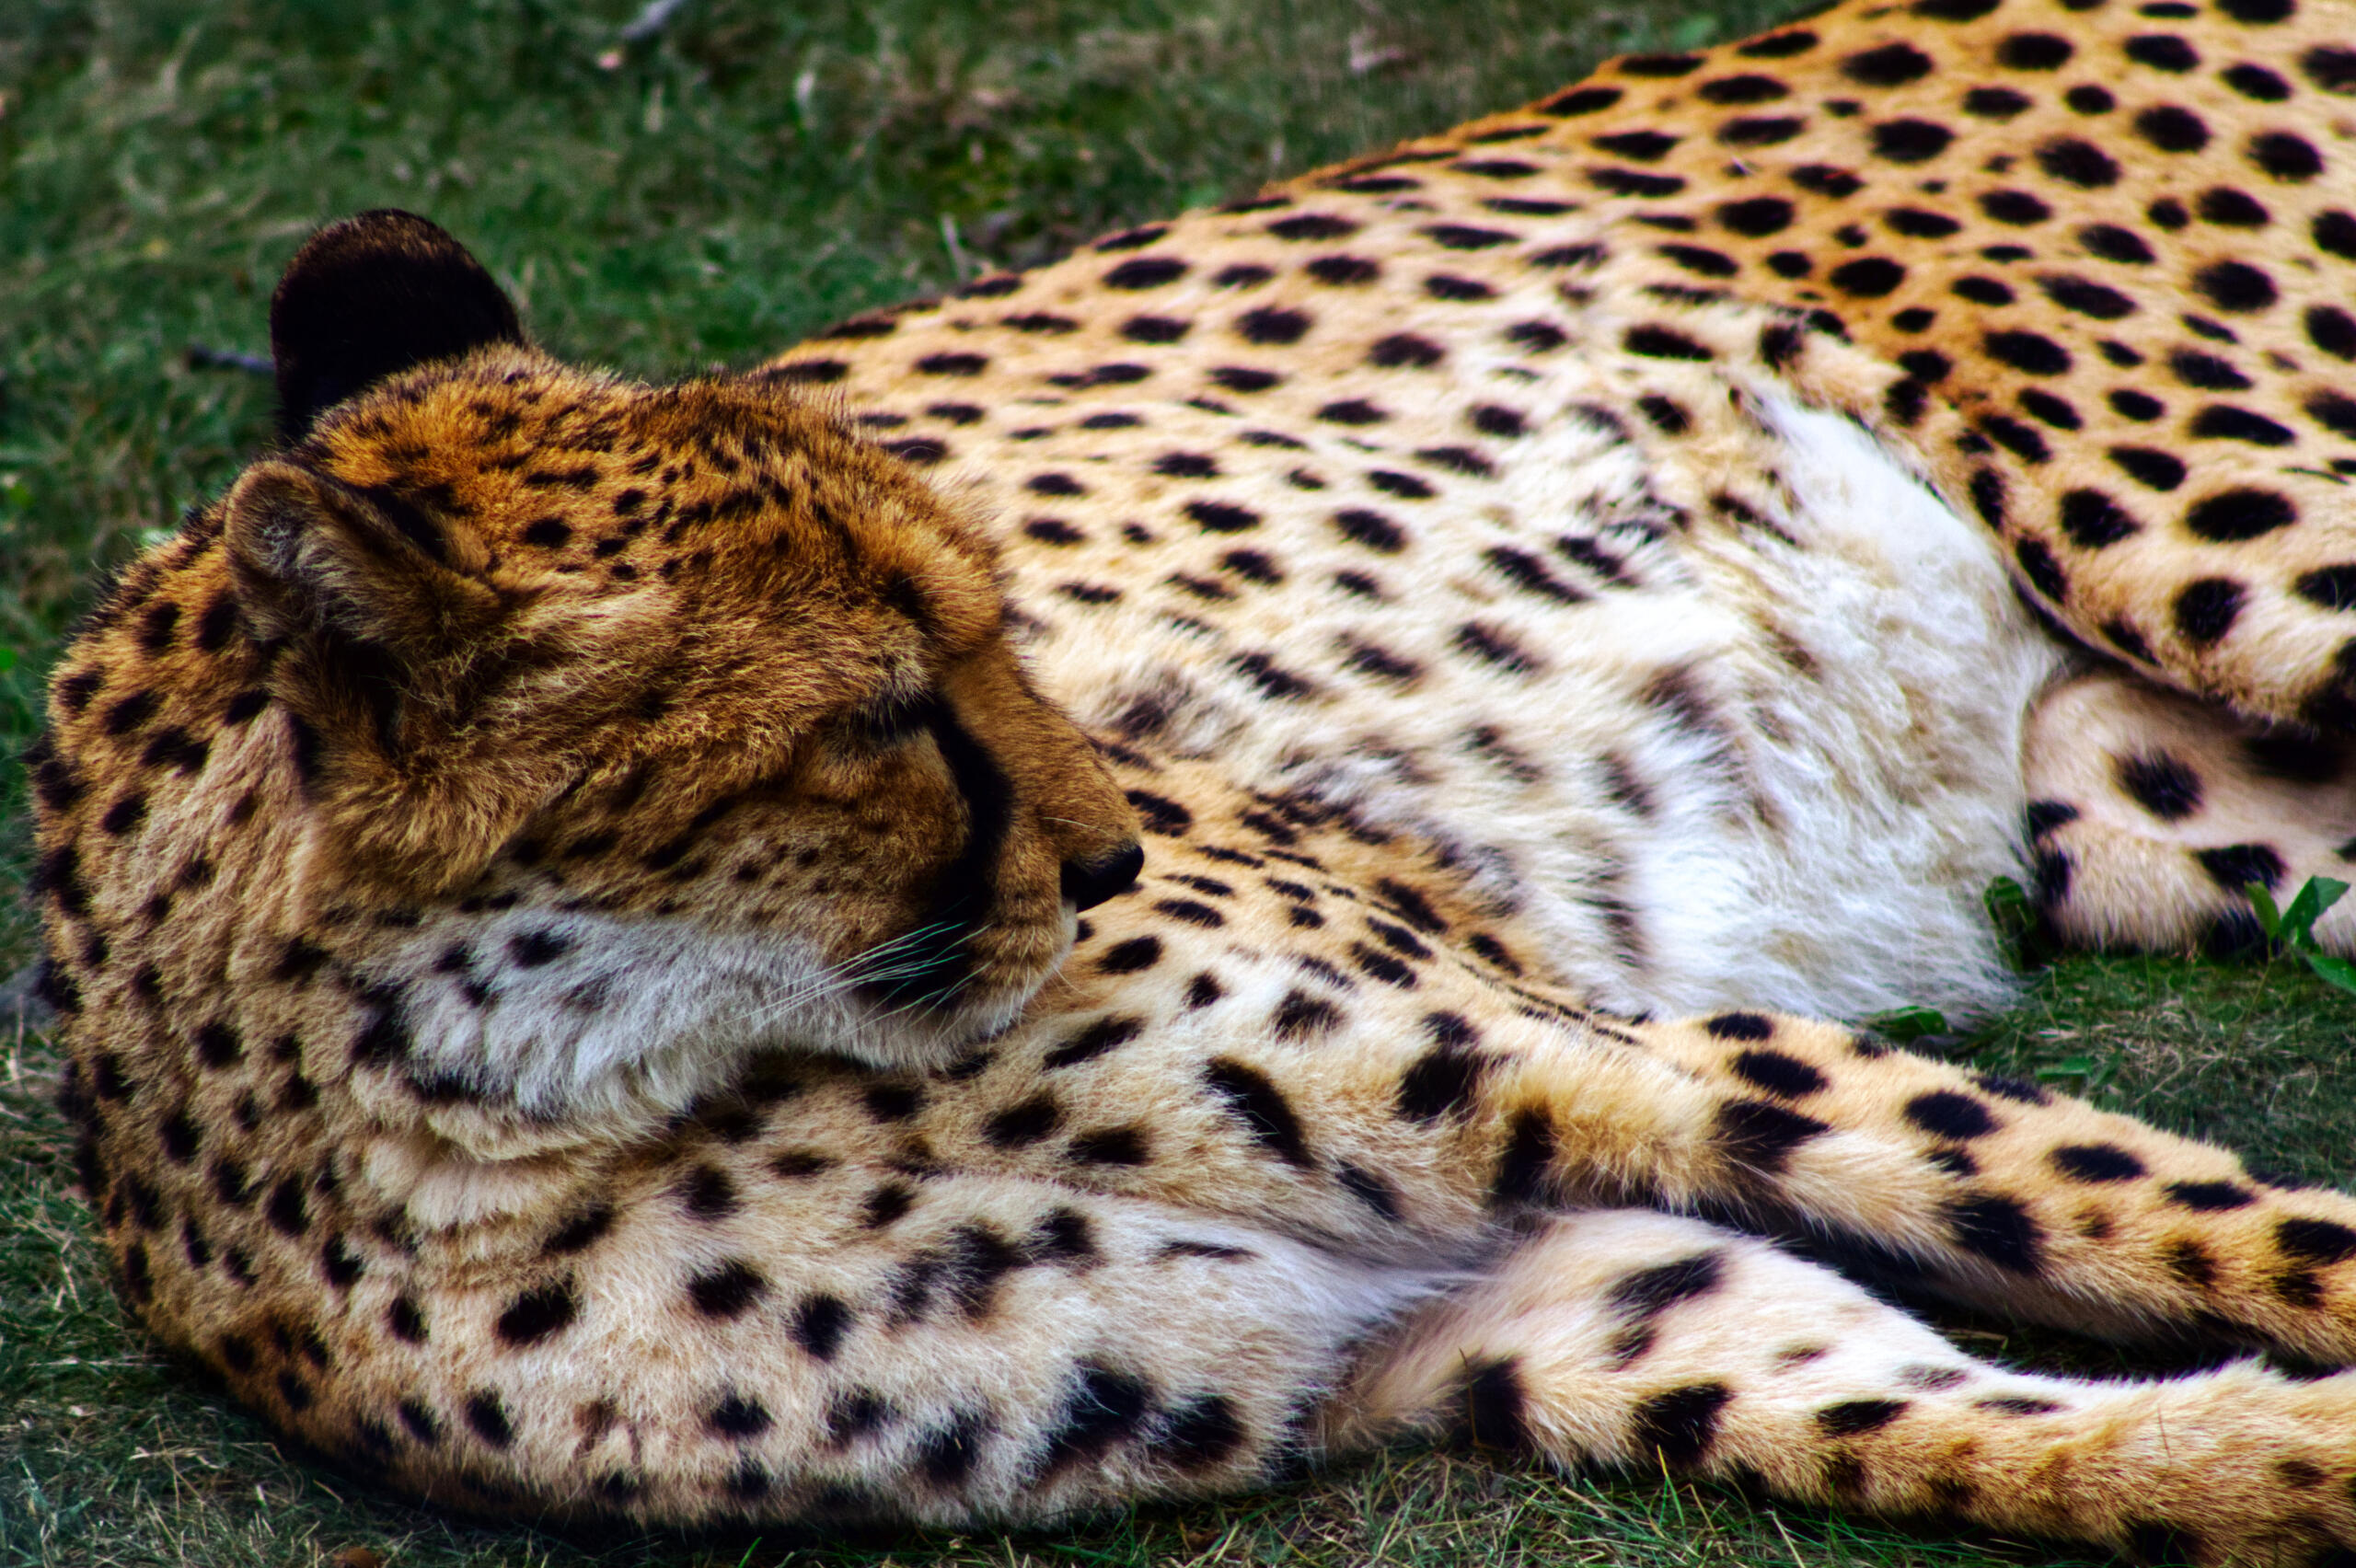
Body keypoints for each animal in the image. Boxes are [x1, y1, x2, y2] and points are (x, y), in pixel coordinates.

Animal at [25, 0, 2356, 1562]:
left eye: (1004, 619)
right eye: (889, 706)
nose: (1112, 845)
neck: (560, 1097)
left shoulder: (1595, 1044)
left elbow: (2165, 1210)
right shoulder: (1484, 1308)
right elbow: (1984, 1418)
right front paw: (2273, 1464)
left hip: (2240, 561)